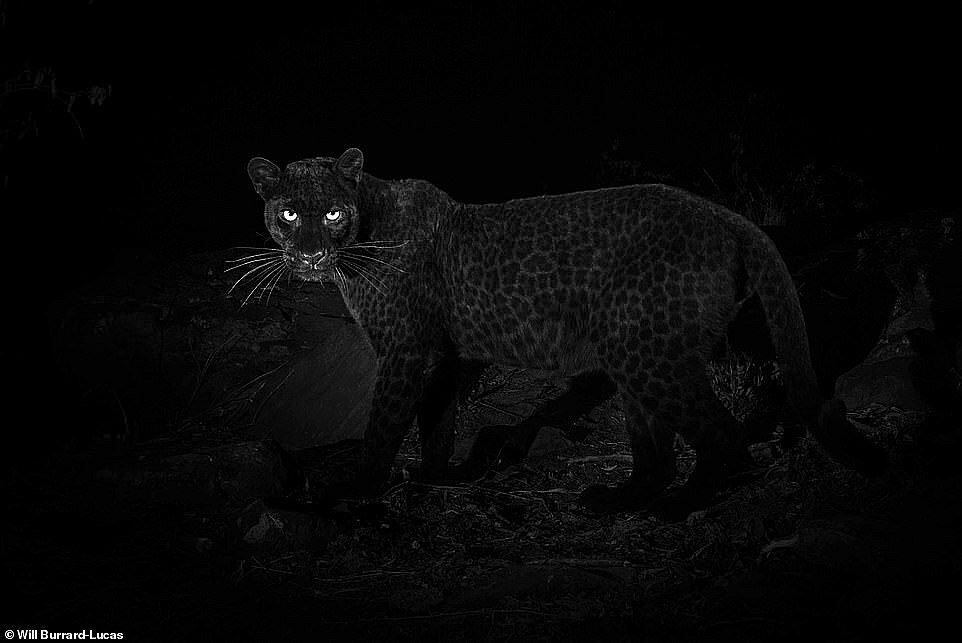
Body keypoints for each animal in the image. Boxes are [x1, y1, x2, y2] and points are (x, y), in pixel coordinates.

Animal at [244, 147, 886, 514]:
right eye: (289, 214)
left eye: (331, 212)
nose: (308, 253)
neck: (364, 229)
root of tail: (726, 215)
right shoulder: (445, 356)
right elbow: (438, 420)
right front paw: (432, 478)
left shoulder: (406, 351)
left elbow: (384, 423)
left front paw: (358, 489)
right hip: (636, 353)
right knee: (656, 448)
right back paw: (620, 499)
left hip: (650, 353)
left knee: (722, 434)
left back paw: (683, 503)